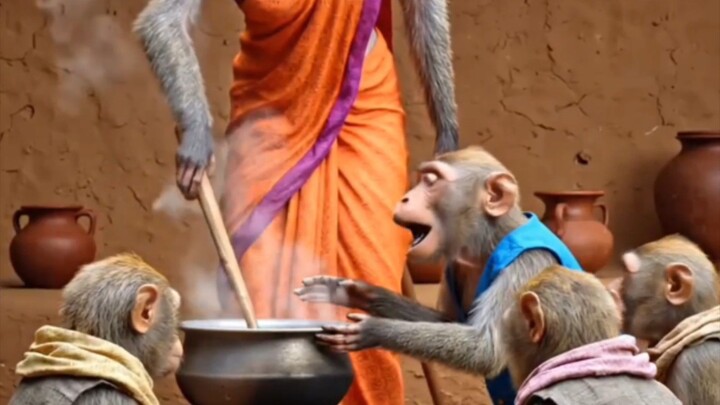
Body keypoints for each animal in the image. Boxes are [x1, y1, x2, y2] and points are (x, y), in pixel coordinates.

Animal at [294, 146, 584, 404]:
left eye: (431, 181)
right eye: (422, 178)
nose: (405, 198)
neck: (490, 239)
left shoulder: (528, 262)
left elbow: (486, 347)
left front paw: (372, 329)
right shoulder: (458, 263)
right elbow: (452, 322)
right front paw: (355, 292)